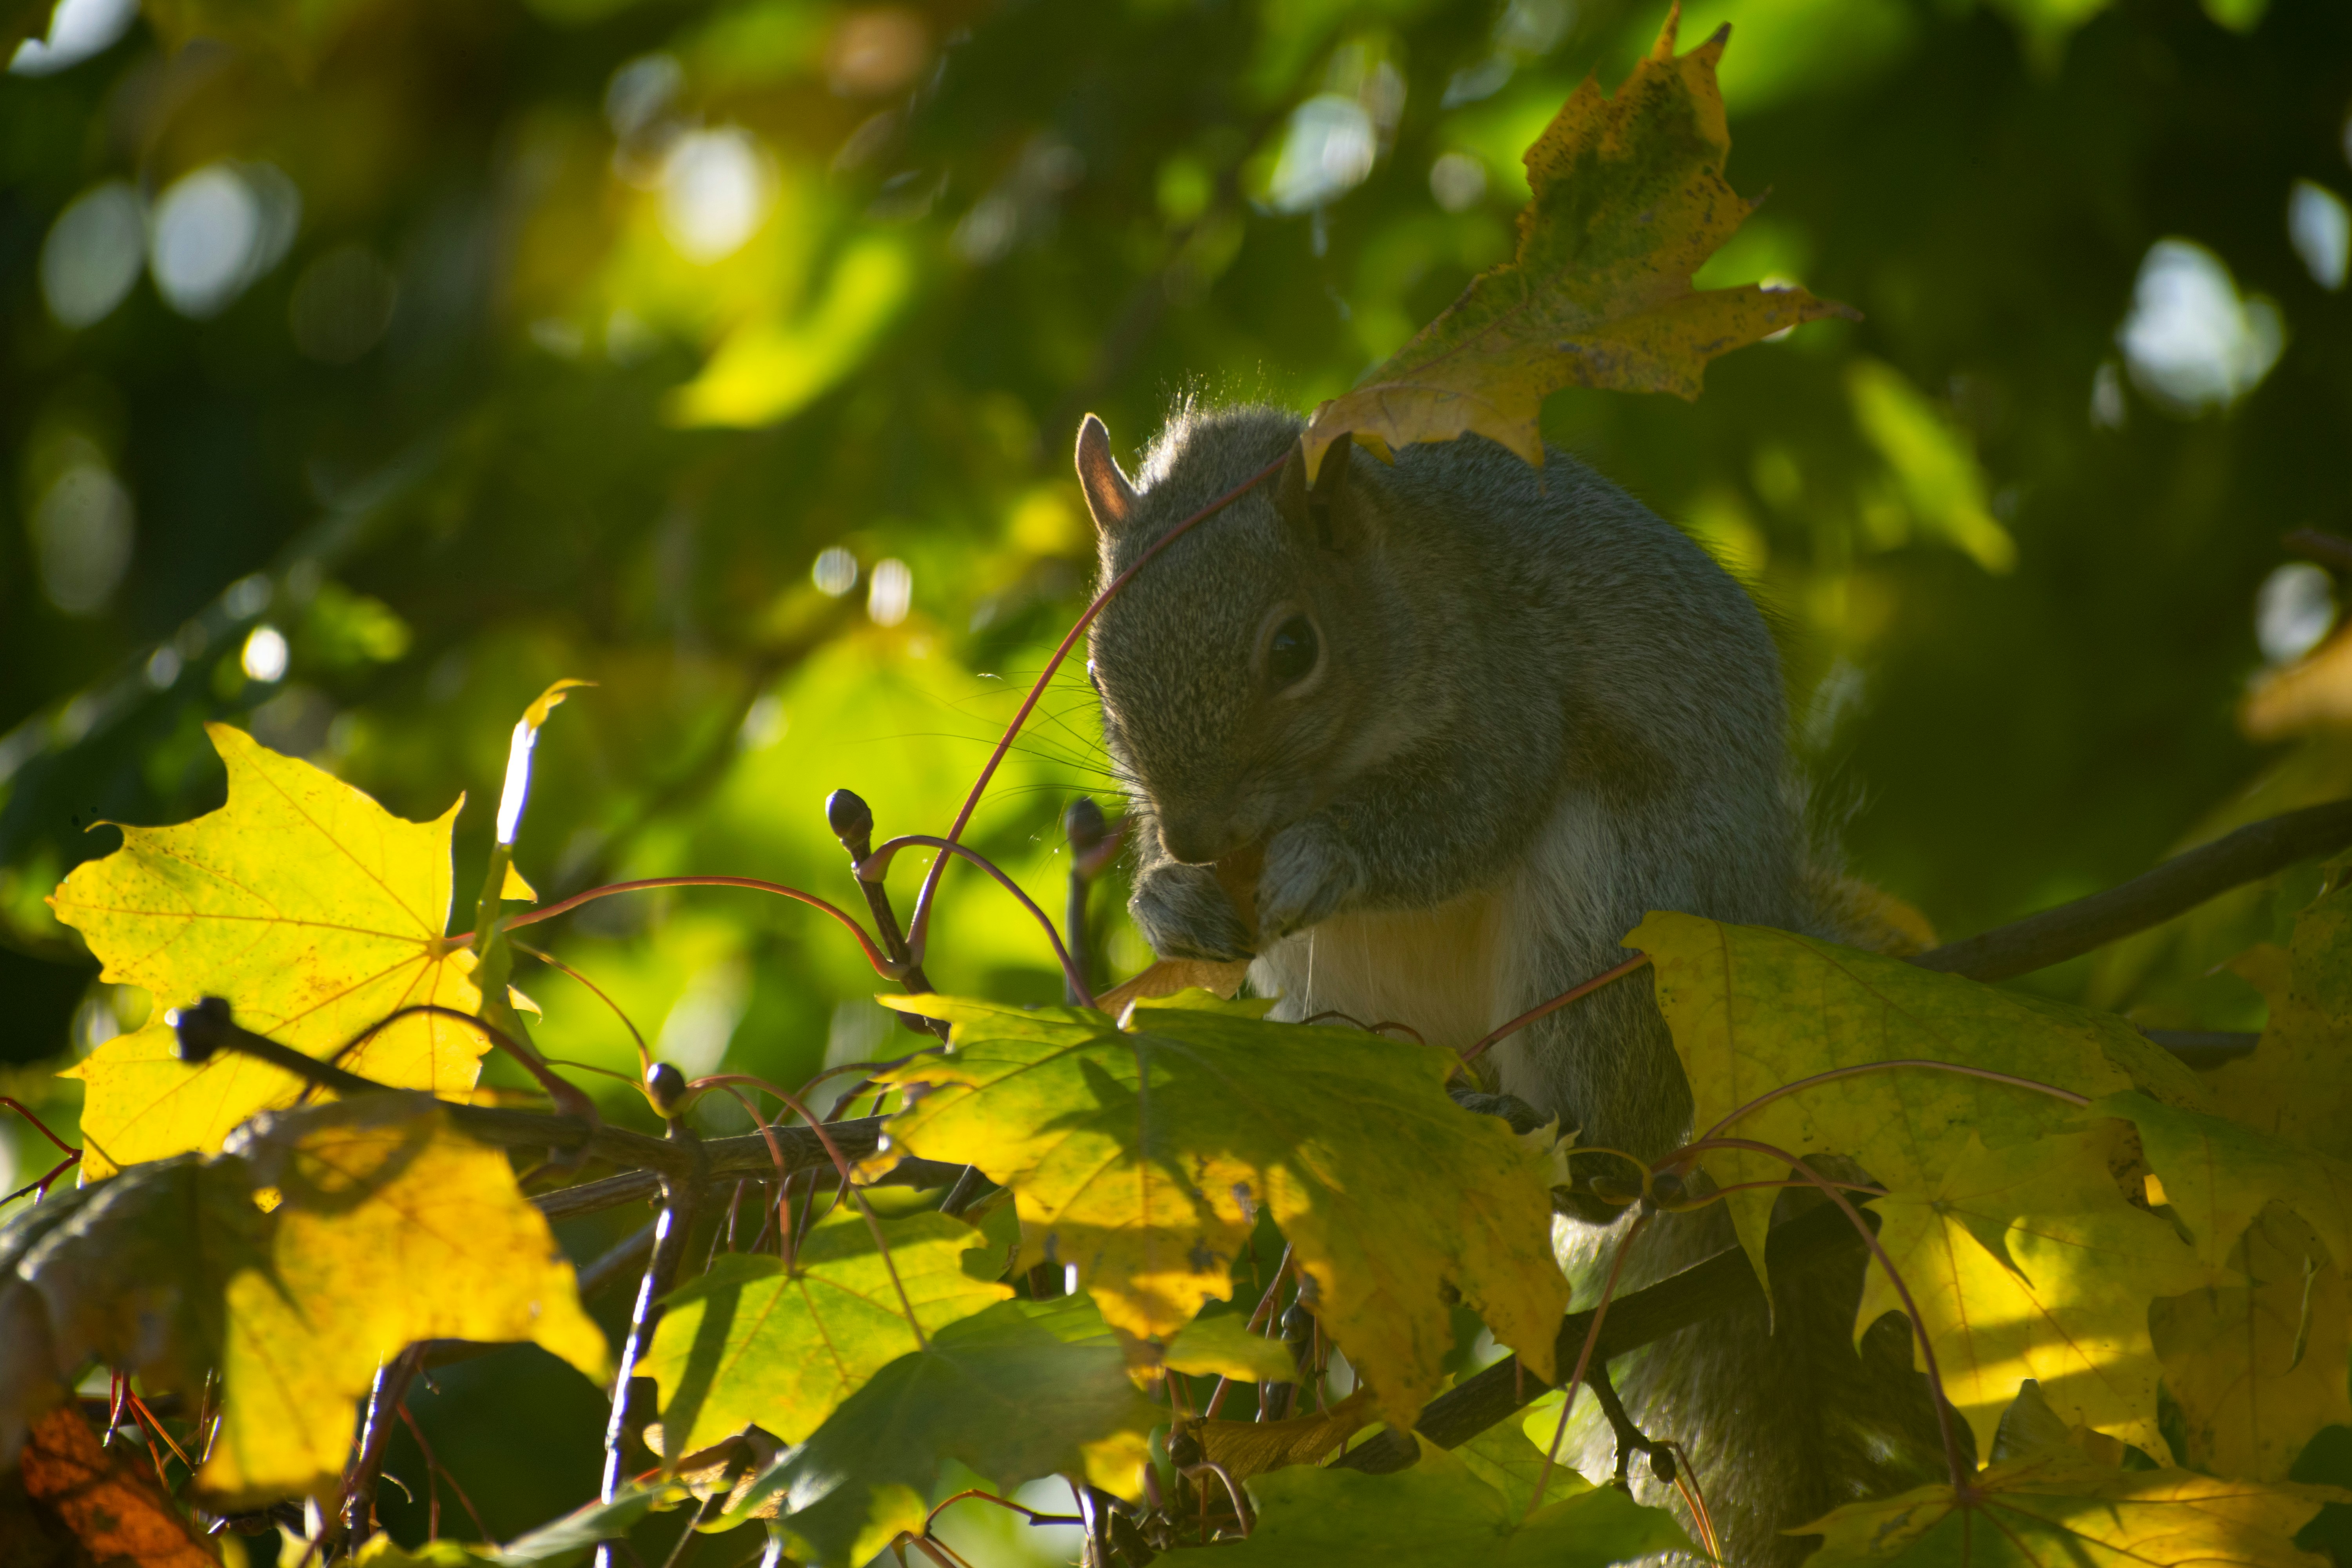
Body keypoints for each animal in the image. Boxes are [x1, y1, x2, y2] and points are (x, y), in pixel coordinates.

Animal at [1074, 402, 1951, 1567]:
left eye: (1295, 649)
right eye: (1096, 673)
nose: (1194, 836)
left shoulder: (1507, 689)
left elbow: (1468, 810)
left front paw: (1328, 856)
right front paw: (1169, 899)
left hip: (1608, 929)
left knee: (1617, 1164)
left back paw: (1549, 1137)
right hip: (1338, 1008)